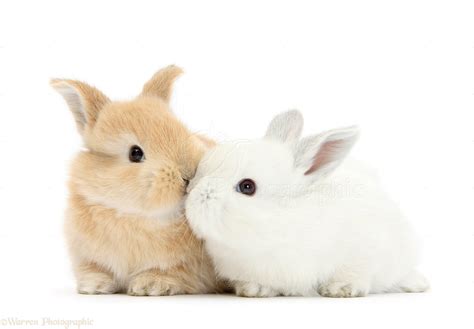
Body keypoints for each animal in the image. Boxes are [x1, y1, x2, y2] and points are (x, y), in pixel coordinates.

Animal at [52, 64, 220, 294]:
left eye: (184, 132)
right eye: (135, 153)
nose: (189, 175)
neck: (135, 217)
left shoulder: (193, 270)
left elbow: (174, 273)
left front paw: (149, 285)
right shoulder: (85, 254)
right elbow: (94, 269)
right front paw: (94, 285)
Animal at [186, 110, 430, 298]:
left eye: (247, 187)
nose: (191, 194)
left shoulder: (365, 250)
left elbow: (355, 273)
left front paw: (340, 289)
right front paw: (254, 290)